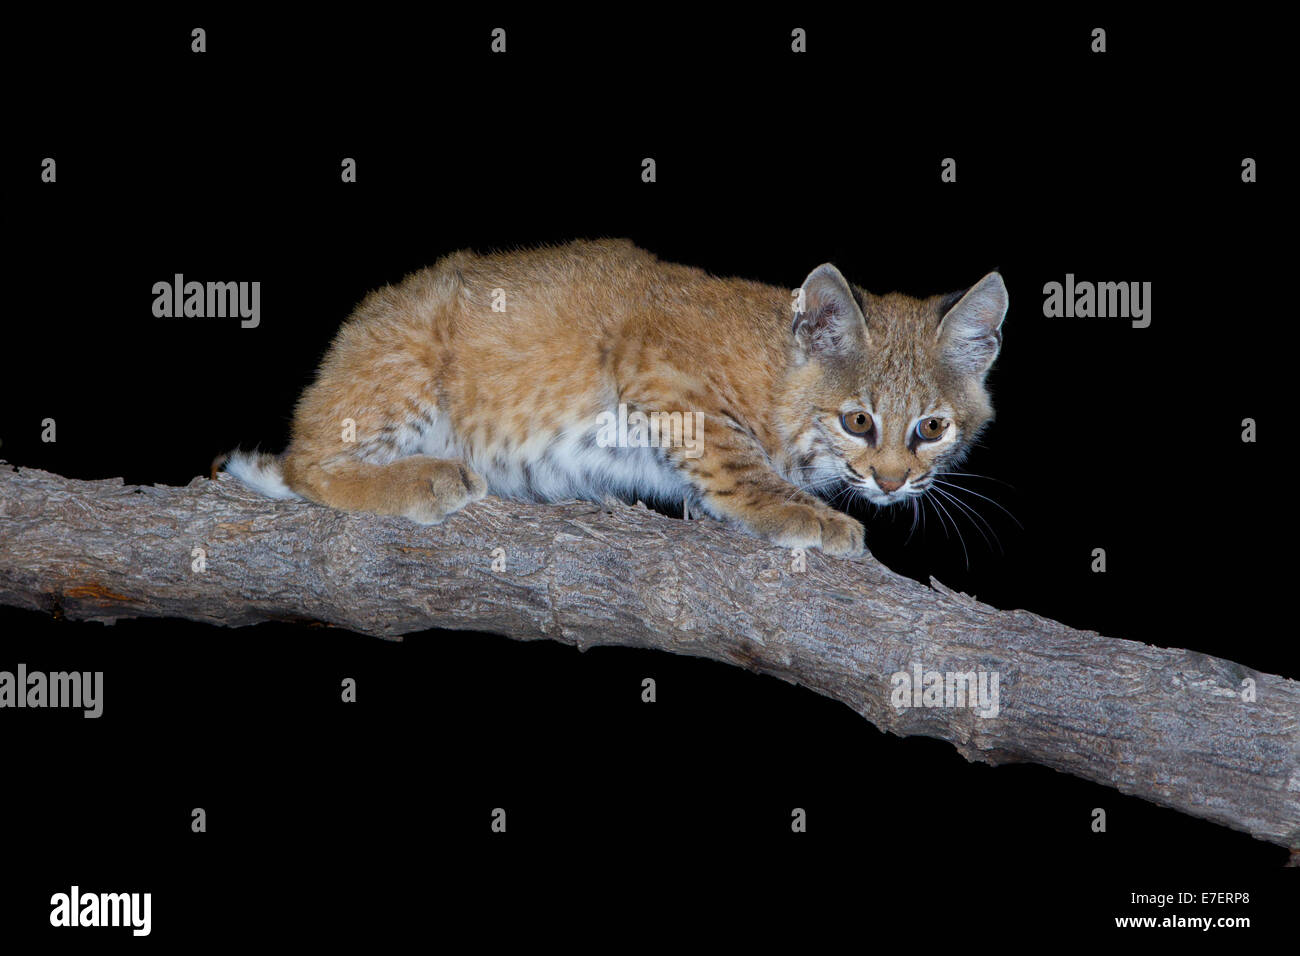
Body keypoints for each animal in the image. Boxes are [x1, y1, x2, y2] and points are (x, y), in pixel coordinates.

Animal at [223, 238, 1008, 554]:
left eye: (932, 428)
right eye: (858, 420)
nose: (892, 483)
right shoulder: (654, 362)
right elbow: (737, 458)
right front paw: (805, 513)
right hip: (411, 344)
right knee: (303, 464)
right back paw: (425, 477)